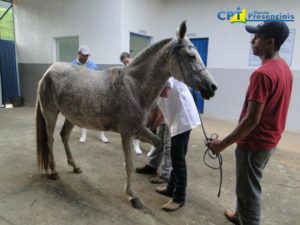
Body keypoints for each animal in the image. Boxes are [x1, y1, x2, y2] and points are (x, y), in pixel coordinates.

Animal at [36, 20, 217, 207]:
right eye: (191, 56)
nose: (212, 87)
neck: (133, 87)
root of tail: (48, 72)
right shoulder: (127, 133)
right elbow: (128, 164)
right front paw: (132, 195)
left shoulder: (139, 129)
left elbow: (158, 143)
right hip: (50, 114)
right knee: (50, 140)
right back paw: (53, 171)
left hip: (71, 117)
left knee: (64, 136)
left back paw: (75, 166)